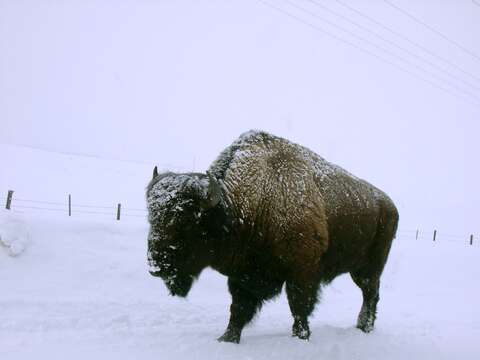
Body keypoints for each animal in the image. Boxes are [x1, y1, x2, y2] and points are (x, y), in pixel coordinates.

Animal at [145, 131, 398, 344]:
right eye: (151, 218)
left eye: (187, 223)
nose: (156, 265)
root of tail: (388, 204)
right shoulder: (243, 274)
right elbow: (238, 308)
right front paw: (227, 339)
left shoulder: (302, 273)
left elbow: (299, 307)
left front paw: (300, 337)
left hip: (369, 268)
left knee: (370, 294)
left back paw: (364, 327)